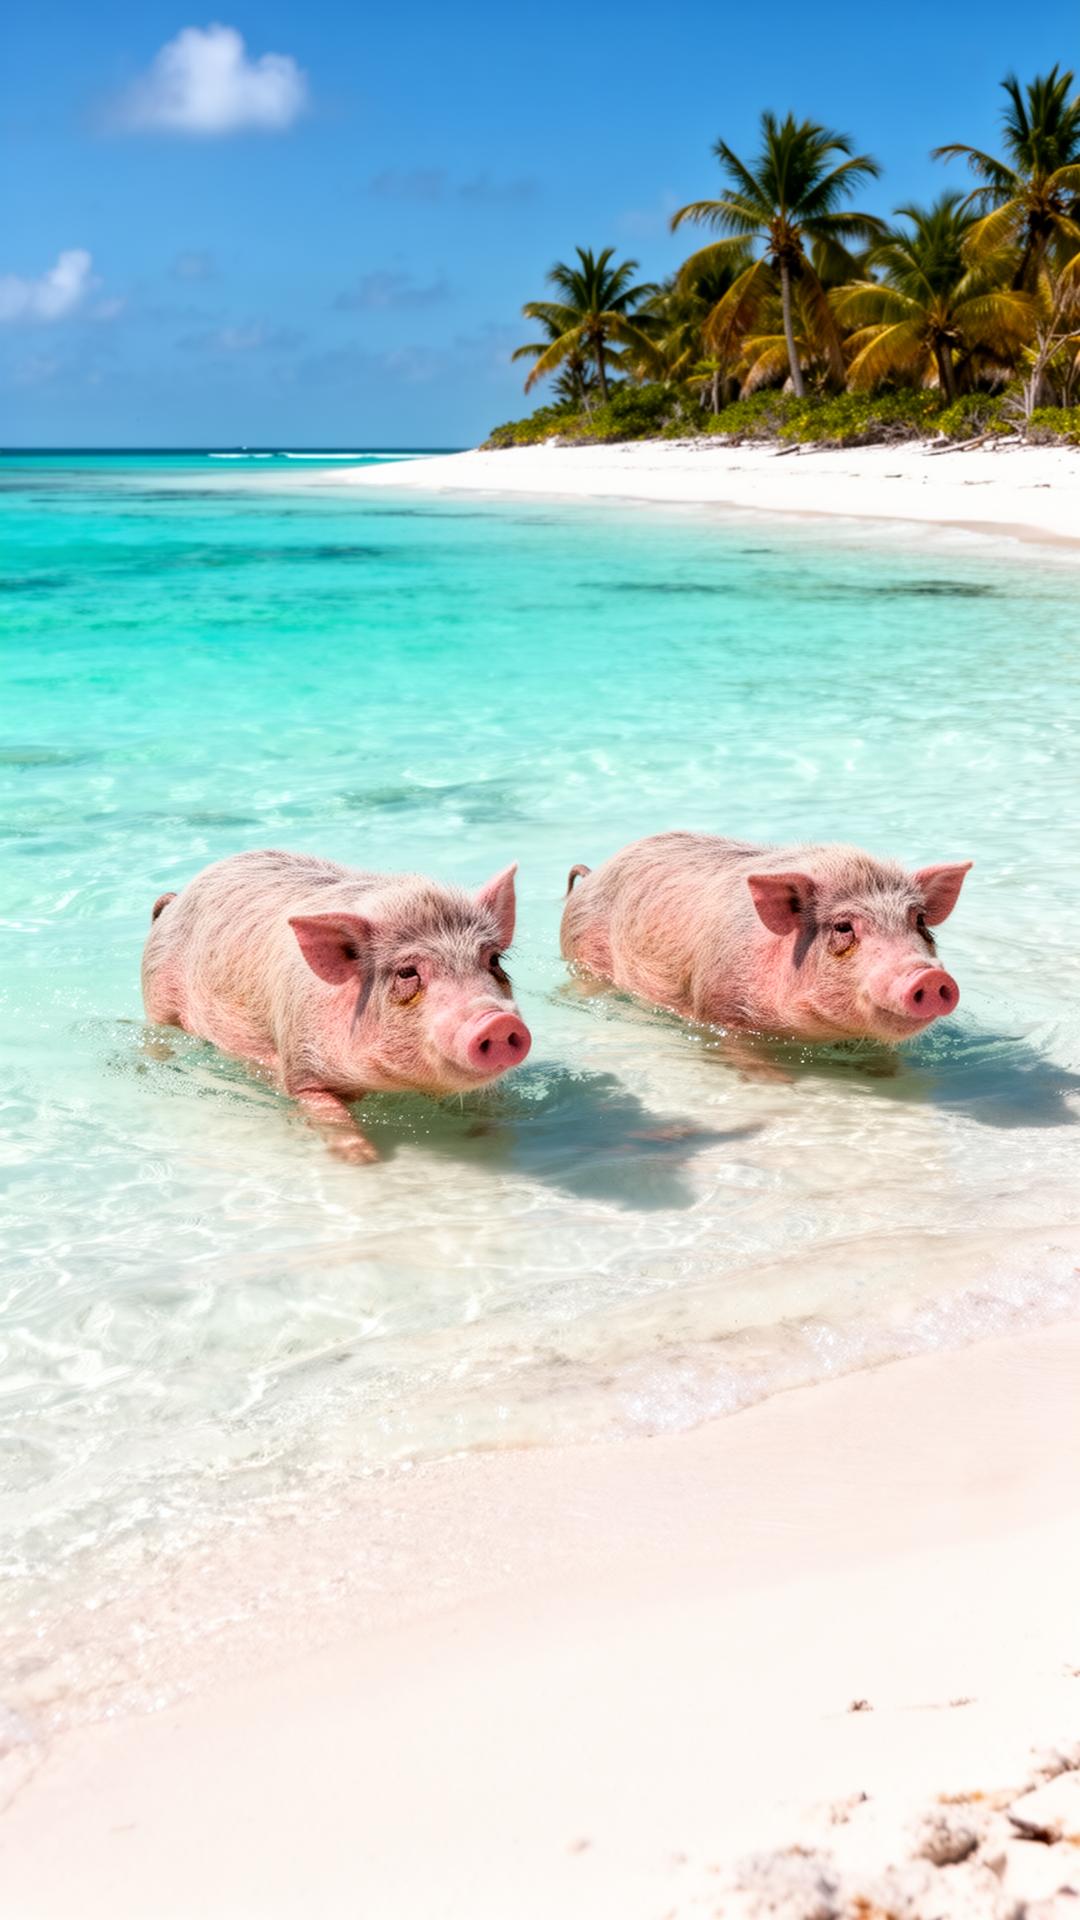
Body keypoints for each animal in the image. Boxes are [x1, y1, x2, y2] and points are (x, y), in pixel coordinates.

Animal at [142, 849, 532, 1161]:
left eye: (493, 960)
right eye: (407, 972)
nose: (497, 1021)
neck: (385, 1083)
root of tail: (176, 899)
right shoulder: (299, 1064)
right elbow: (329, 1113)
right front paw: (365, 1159)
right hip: (157, 999)